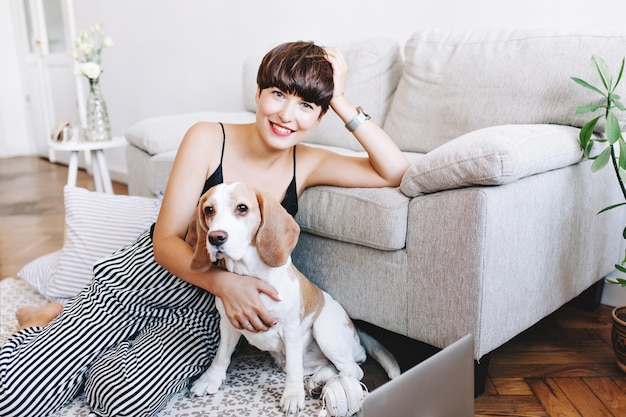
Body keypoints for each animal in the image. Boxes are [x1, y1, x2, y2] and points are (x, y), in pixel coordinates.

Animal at [185, 183, 400, 416]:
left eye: (242, 208)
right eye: (209, 210)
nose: (215, 237)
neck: (251, 275)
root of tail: (357, 334)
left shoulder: (290, 330)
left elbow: (295, 370)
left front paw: (293, 396)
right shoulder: (228, 324)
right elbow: (221, 356)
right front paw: (211, 380)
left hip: (324, 329)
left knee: (353, 369)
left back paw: (329, 385)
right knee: (333, 366)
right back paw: (319, 381)